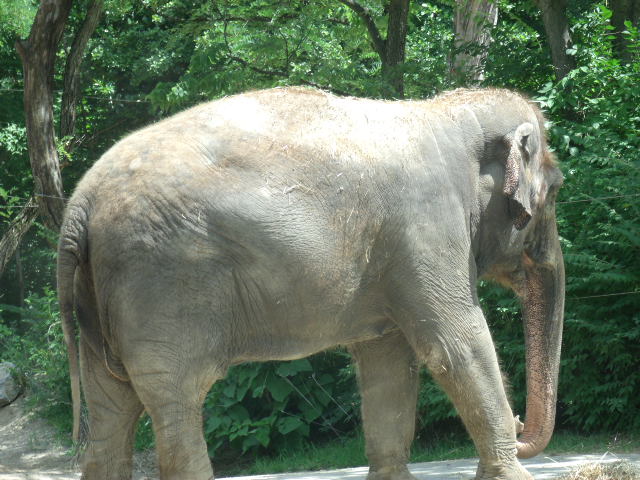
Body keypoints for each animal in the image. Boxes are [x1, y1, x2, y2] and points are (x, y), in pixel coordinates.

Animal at [57, 86, 564, 480]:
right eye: (557, 188)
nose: (521, 425)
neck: (446, 112)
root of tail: (79, 205)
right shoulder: (427, 228)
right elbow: (456, 344)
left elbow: (387, 360)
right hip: (161, 283)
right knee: (175, 399)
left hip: (102, 300)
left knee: (111, 409)